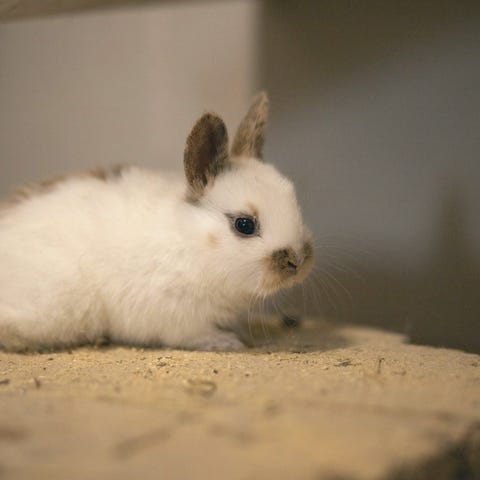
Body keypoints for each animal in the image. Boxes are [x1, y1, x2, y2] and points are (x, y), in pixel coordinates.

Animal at [0, 93, 314, 352]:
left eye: (293, 197)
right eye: (244, 225)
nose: (298, 262)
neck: (193, 244)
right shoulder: (176, 315)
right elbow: (192, 335)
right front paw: (226, 342)